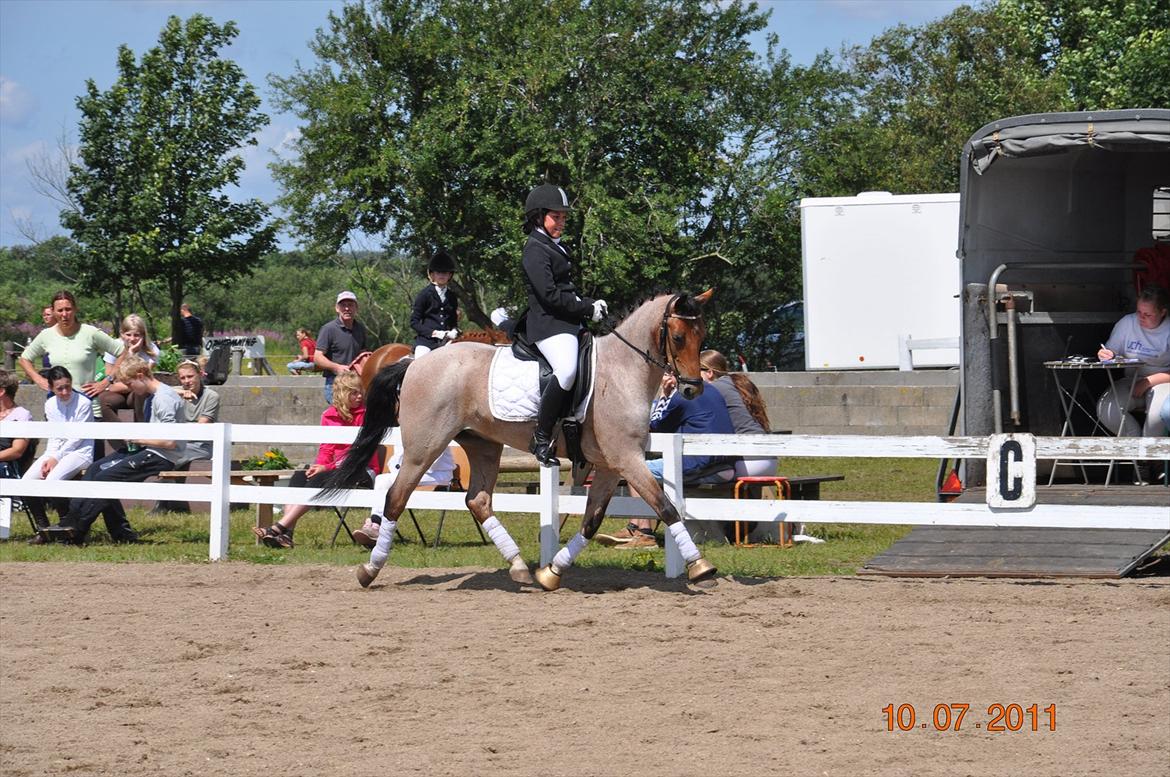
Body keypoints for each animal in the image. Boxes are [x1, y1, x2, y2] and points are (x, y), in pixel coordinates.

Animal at [322, 290, 720, 589]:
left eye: (702, 336)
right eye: (679, 337)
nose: (692, 389)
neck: (623, 371)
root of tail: (414, 362)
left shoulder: (611, 465)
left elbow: (592, 521)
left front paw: (552, 572)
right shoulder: (626, 458)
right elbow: (666, 506)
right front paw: (702, 568)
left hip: (483, 445)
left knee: (477, 501)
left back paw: (518, 567)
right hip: (424, 448)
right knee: (396, 497)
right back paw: (369, 570)